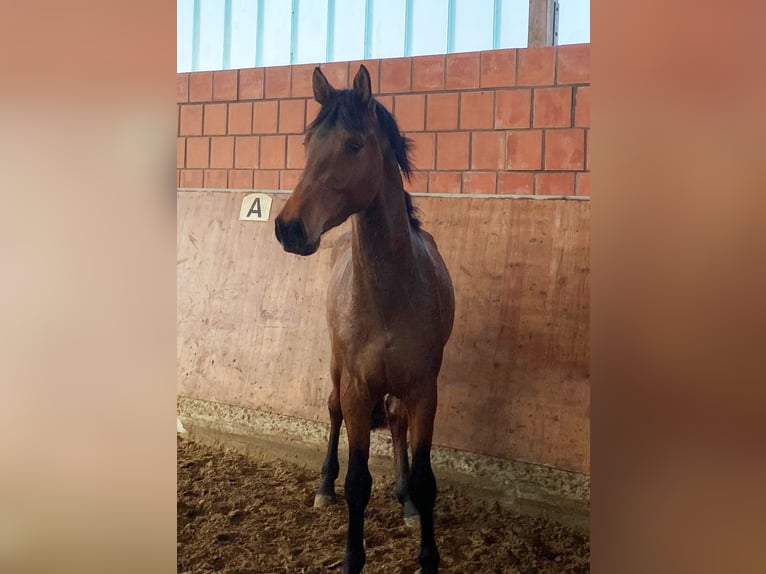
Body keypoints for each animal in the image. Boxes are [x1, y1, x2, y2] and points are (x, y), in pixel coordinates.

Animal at [274, 64, 455, 574]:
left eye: (354, 145)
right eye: (307, 142)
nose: (289, 228)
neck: (389, 292)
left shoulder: (424, 389)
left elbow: (425, 478)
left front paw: (427, 553)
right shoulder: (357, 389)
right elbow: (357, 482)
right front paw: (352, 557)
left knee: (395, 422)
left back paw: (405, 501)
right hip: (338, 371)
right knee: (332, 410)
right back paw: (323, 488)